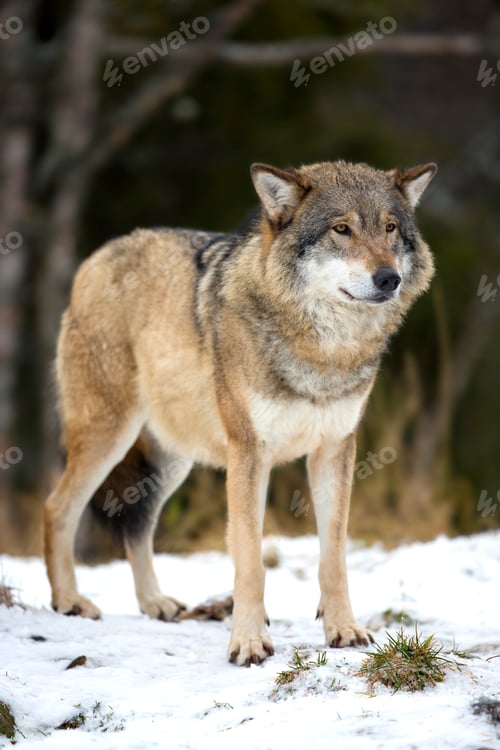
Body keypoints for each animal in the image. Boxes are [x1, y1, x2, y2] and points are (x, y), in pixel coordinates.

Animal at [44, 158, 436, 666]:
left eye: (390, 228)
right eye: (341, 229)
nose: (389, 278)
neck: (322, 351)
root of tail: (99, 255)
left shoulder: (334, 450)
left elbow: (333, 558)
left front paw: (343, 630)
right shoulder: (249, 452)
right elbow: (250, 560)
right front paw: (248, 642)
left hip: (171, 461)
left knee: (138, 528)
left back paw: (155, 604)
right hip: (108, 438)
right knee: (58, 508)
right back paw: (69, 601)